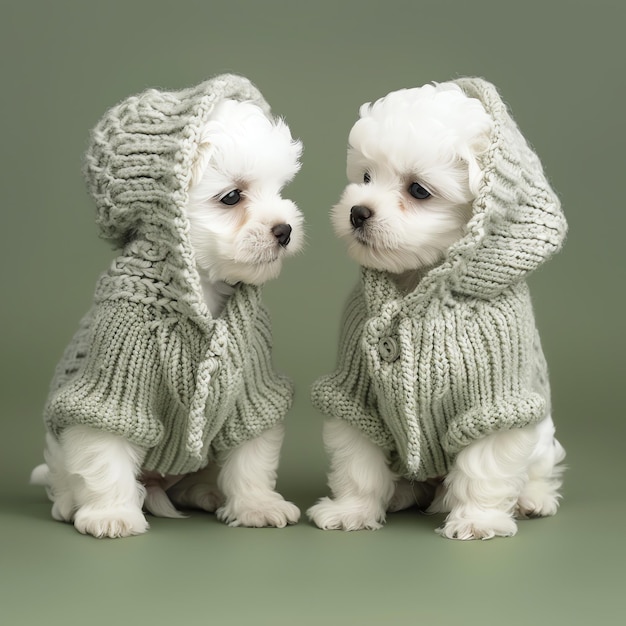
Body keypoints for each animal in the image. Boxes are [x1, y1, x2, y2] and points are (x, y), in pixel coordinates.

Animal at [33, 92, 304, 536]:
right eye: (232, 197)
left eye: (279, 190)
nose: (284, 230)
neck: (200, 296)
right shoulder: (116, 375)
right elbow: (105, 452)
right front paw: (111, 514)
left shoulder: (251, 380)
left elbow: (250, 453)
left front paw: (256, 505)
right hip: (60, 453)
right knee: (66, 475)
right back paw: (70, 503)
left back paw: (204, 491)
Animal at [308, 80, 564, 540]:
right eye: (366, 177)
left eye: (418, 191)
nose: (357, 212)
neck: (420, 282)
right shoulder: (355, 388)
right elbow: (358, 459)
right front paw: (351, 510)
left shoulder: (494, 397)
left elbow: (485, 462)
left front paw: (477, 519)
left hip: (539, 434)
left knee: (539, 466)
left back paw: (533, 499)